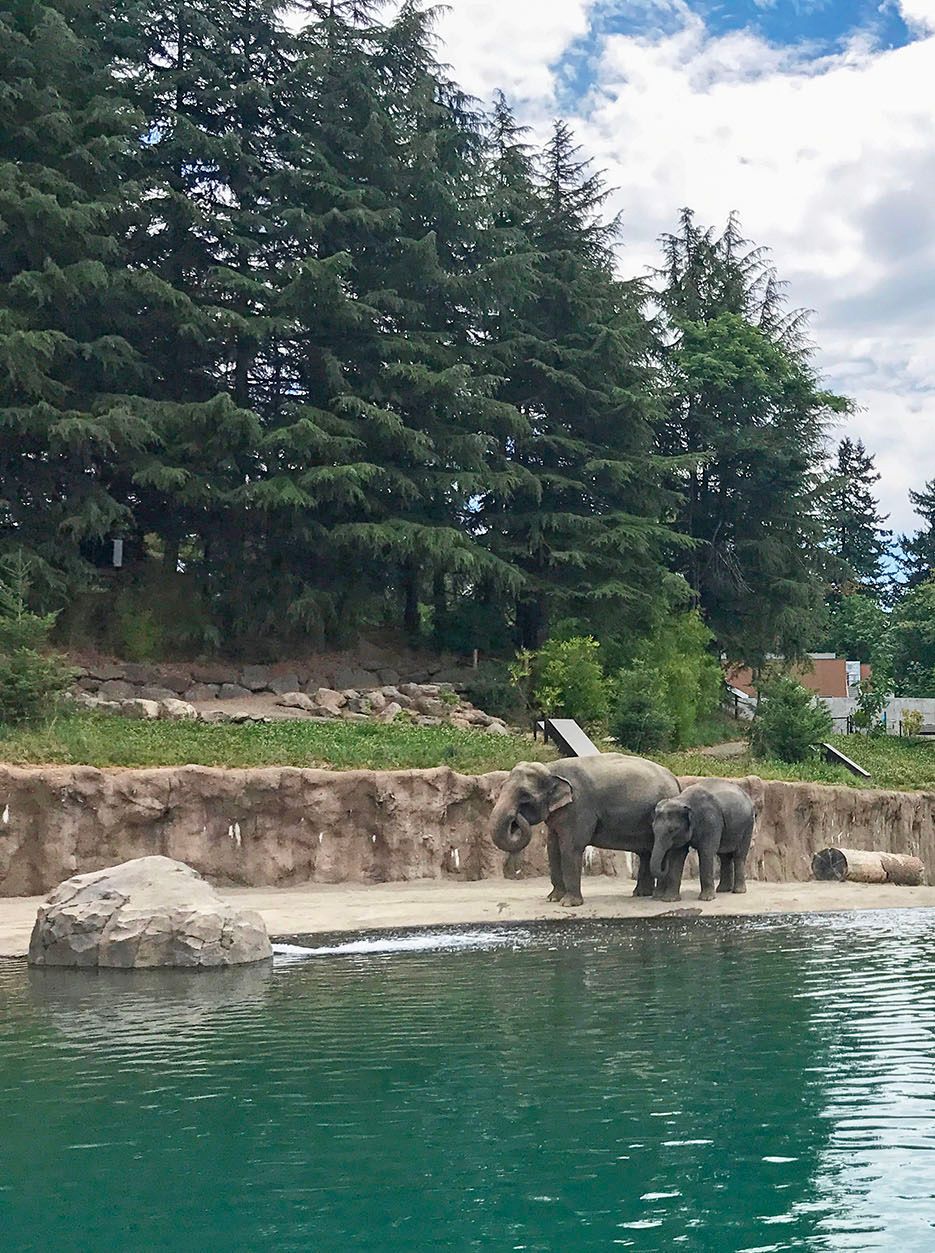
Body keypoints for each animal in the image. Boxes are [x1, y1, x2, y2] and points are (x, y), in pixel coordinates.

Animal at [488, 754, 681, 906]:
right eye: (502, 787)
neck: (551, 768)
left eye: (525, 796)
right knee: (646, 852)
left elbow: (570, 847)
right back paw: (641, 894)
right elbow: (553, 848)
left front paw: (568, 904)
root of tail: (675, 779)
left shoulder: (579, 806)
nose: (516, 818)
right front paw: (552, 899)